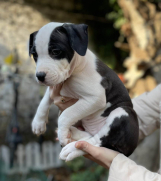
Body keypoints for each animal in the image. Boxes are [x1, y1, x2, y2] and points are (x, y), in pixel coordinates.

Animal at [28, 21, 138, 161]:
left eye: (55, 51)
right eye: (34, 55)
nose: (40, 76)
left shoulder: (95, 98)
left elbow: (66, 114)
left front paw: (63, 135)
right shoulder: (55, 85)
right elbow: (45, 100)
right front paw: (38, 123)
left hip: (123, 112)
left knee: (98, 142)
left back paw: (71, 148)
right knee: (91, 136)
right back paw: (74, 132)